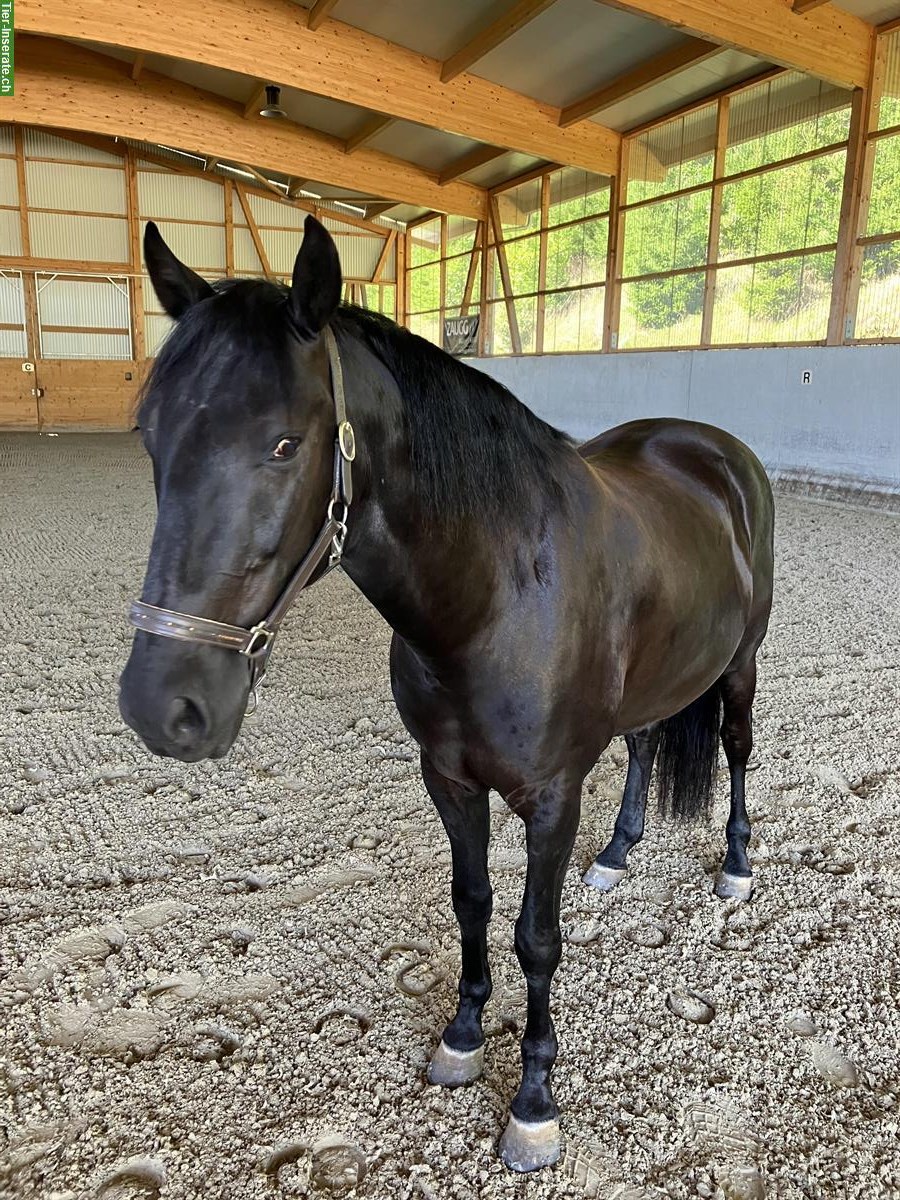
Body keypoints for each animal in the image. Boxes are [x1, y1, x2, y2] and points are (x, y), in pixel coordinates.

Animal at [120, 213, 777, 1171]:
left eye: (284, 443)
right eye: (151, 439)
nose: (162, 706)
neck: (496, 598)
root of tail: (714, 448)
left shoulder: (551, 796)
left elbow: (537, 938)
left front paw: (533, 1104)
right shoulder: (449, 780)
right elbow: (472, 905)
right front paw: (463, 1037)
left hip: (741, 666)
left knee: (735, 750)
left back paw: (733, 865)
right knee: (645, 742)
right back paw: (618, 854)